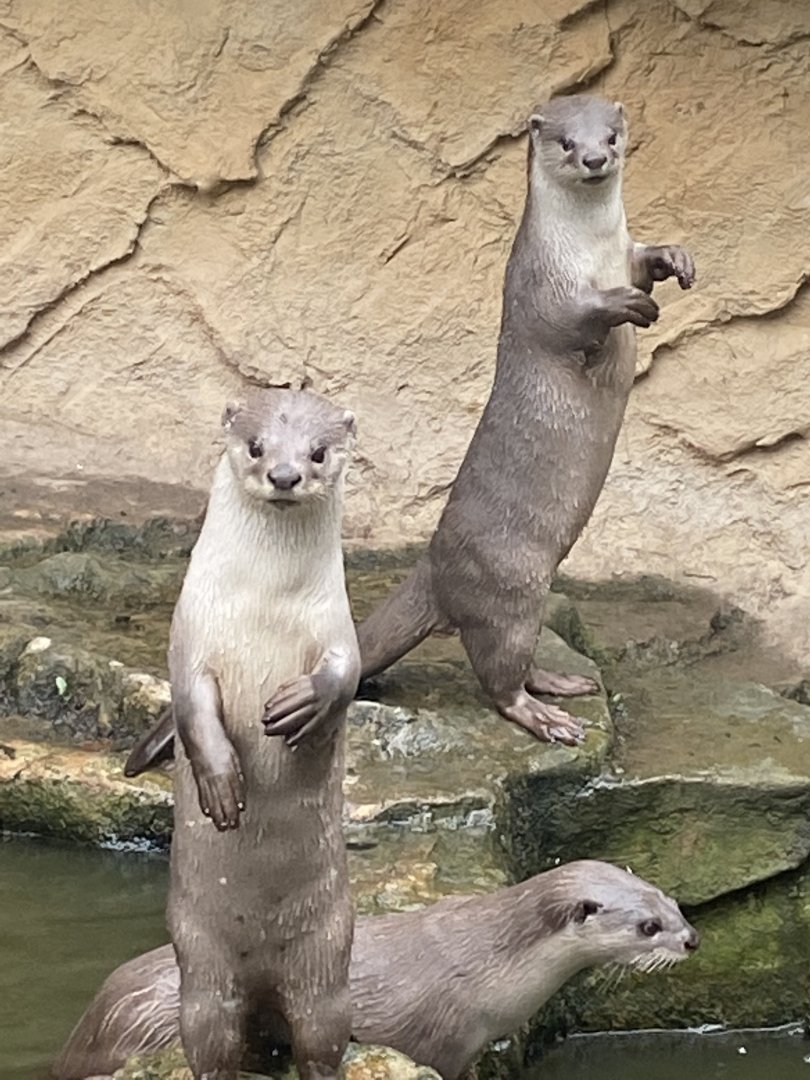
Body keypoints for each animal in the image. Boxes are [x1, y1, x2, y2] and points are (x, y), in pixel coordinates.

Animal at [53, 860, 698, 1080]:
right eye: (647, 926)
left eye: (672, 902)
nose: (691, 939)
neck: (488, 965)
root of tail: (86, 1028)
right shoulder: (443, 1035)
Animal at [123, 94, 695, 777]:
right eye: (564, 142)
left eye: (610, 135)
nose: (593, 158)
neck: (593, 249)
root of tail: (434, 566)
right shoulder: (540, 289)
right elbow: (571, 320)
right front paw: (628, 305)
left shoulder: (623, 249)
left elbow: (645, 259)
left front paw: (674, 260)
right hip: (512, 586)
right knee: (498, 672)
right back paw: (545, 715)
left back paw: (563, 682)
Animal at [165, 389, 360, 1080]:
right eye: (256, 446)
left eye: (318, 452)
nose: (284, 475)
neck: (264, 607)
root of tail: (264, 980)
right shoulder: (190, 639)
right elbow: (194, 712)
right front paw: (223, 788)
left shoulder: (338, 625)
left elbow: (347, 672)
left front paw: (299, 707)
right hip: (200, 966)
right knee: (211, 1038)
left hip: (328, 956)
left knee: (319, 1037)